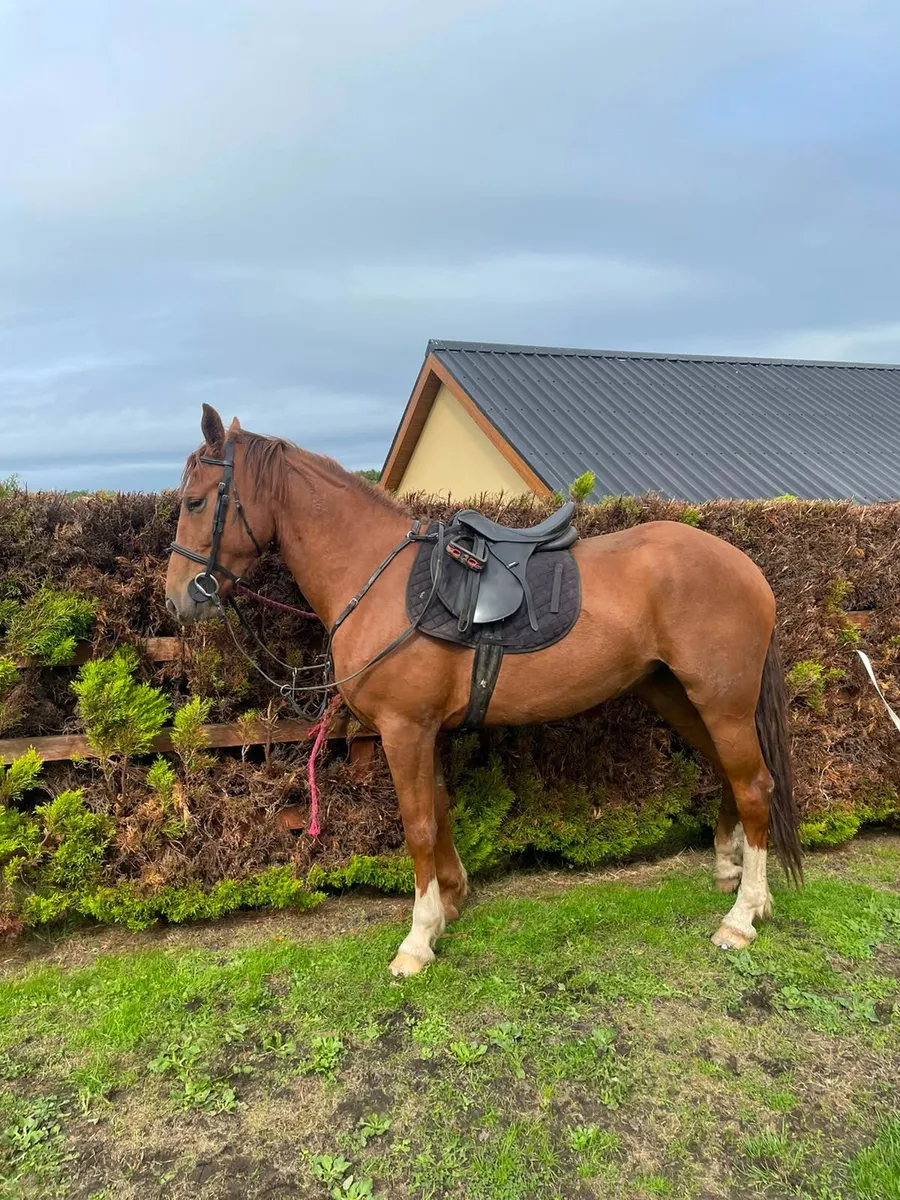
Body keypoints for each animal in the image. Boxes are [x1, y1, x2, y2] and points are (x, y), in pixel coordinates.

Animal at [165, 404, 802, 977]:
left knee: (755, 786)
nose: (178, 598)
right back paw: (735, 877)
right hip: (675, 693)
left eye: (196, 501)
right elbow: (440, 810)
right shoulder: (423, 732)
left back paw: (741, 917)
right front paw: (449, 903)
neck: (379, 579)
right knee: (730, 773)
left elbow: (418, 826)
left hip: (722, 702)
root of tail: (746, 568)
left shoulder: (405, 730)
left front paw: (417, 939)